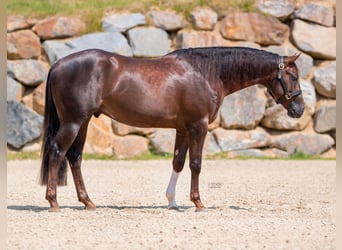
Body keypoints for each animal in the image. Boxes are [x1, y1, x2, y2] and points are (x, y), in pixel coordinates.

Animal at [38, 46, 304, 211]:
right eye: (293, 76)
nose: (299, 110)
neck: (206, 72)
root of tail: (58, 64)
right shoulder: (198, 126)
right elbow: (195, 164)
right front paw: (198, 203)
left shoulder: (183, 129)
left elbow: (178, 162)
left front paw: (172, 201)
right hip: (73, 122)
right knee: (57, 152)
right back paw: (53, 202)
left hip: (82, 122)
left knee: (74, 156)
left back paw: (88, 202)